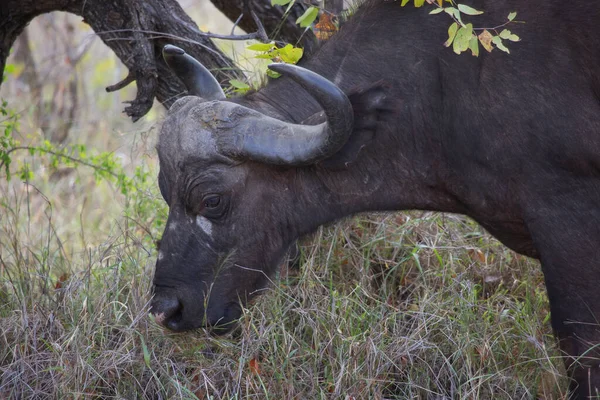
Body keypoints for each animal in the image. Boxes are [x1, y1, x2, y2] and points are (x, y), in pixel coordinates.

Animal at [150, 1, 600, 396]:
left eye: (212, 200)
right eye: (164, 190)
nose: (166, 309)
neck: (444, 84)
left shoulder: (567, 222)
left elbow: (581, 344)